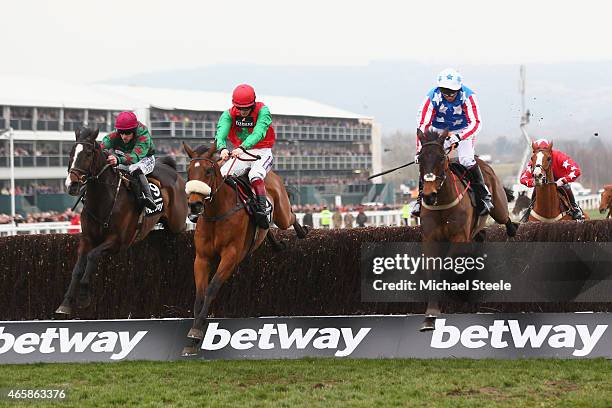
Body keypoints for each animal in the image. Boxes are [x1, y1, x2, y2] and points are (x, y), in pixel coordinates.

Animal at [56, 127, 189, 316]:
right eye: (71, 153)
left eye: (88, 153)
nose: (71, 185)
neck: (104, 199)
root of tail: (173, 171)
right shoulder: (87, 238)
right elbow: (77, 268)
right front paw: (66, 303)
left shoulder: (117, 241)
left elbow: (92, 256)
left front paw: (83, 297)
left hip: (178, 222)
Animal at [180, 142, 306, 356]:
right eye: (188, 171)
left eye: (208, 171)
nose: (194, 205)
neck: (217, 213)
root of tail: (271, 175)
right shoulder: (202, 258)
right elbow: (199, 294)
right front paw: (192, 339)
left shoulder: (231, 256)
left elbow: (212, 288)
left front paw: (197, 331)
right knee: (267, 228)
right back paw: (277, 244)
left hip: (281, 212)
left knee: (291, 216)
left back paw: (302, 231)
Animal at [416, 131, 516, 332]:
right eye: (420, 159)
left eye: (441, 158)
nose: (429, 196)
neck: (442, 203)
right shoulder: (430, 239)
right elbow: (432, 273)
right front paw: (430, 315)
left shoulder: (459, 237)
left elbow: (448, 268)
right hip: (475, 231)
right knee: (481, 236)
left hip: (499, 208)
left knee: (505, 219)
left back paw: (511, 230)